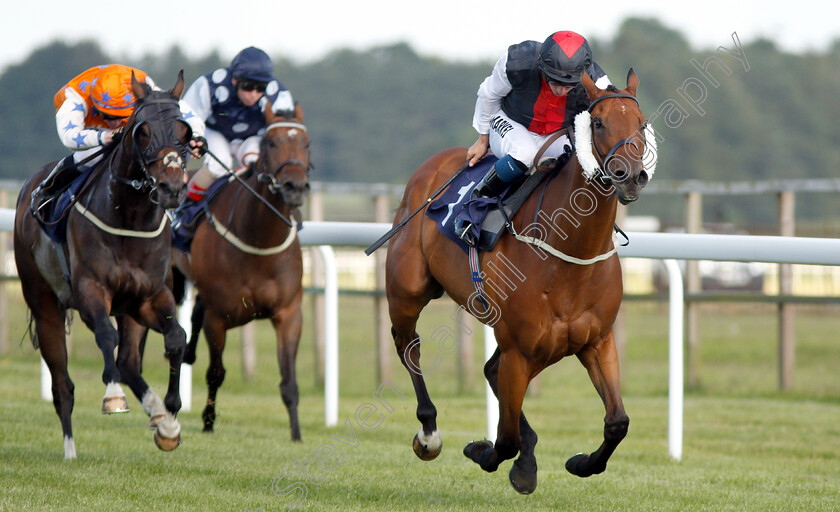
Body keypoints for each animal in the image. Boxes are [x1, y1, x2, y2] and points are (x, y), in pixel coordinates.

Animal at [15, 73, 193, 460]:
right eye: (142, 132)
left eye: (184, 131)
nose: (171, 188)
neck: (130, 218)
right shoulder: (90, 291)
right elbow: (105, 336)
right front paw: (113, 398)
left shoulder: (150, 297)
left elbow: (176, 338)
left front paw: (171, 418)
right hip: (45, 304)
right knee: (62, 385)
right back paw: (70, 452)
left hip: (130, 310)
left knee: (128, 362)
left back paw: (157, 414)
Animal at [172, 103, 310, 440]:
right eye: (271, 143)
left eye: (306, 143)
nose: (295, 187)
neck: (258, 240)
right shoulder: (219, 317)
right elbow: (216, 373)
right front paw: (208, 422)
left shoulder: (289, 313)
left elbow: (289, 380)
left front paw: (296, 433)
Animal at [384, 70, 652, 494]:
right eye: (598, 123)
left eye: (642, 124)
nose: (631, 177)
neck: (570, 257)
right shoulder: (520, 351)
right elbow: (505, 439)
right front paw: (484, 452)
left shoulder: (595, 341)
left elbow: (618, 422)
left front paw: (580, 463)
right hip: (407, 290)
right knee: (409, 347)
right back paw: (429, 432)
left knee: (489, 371)